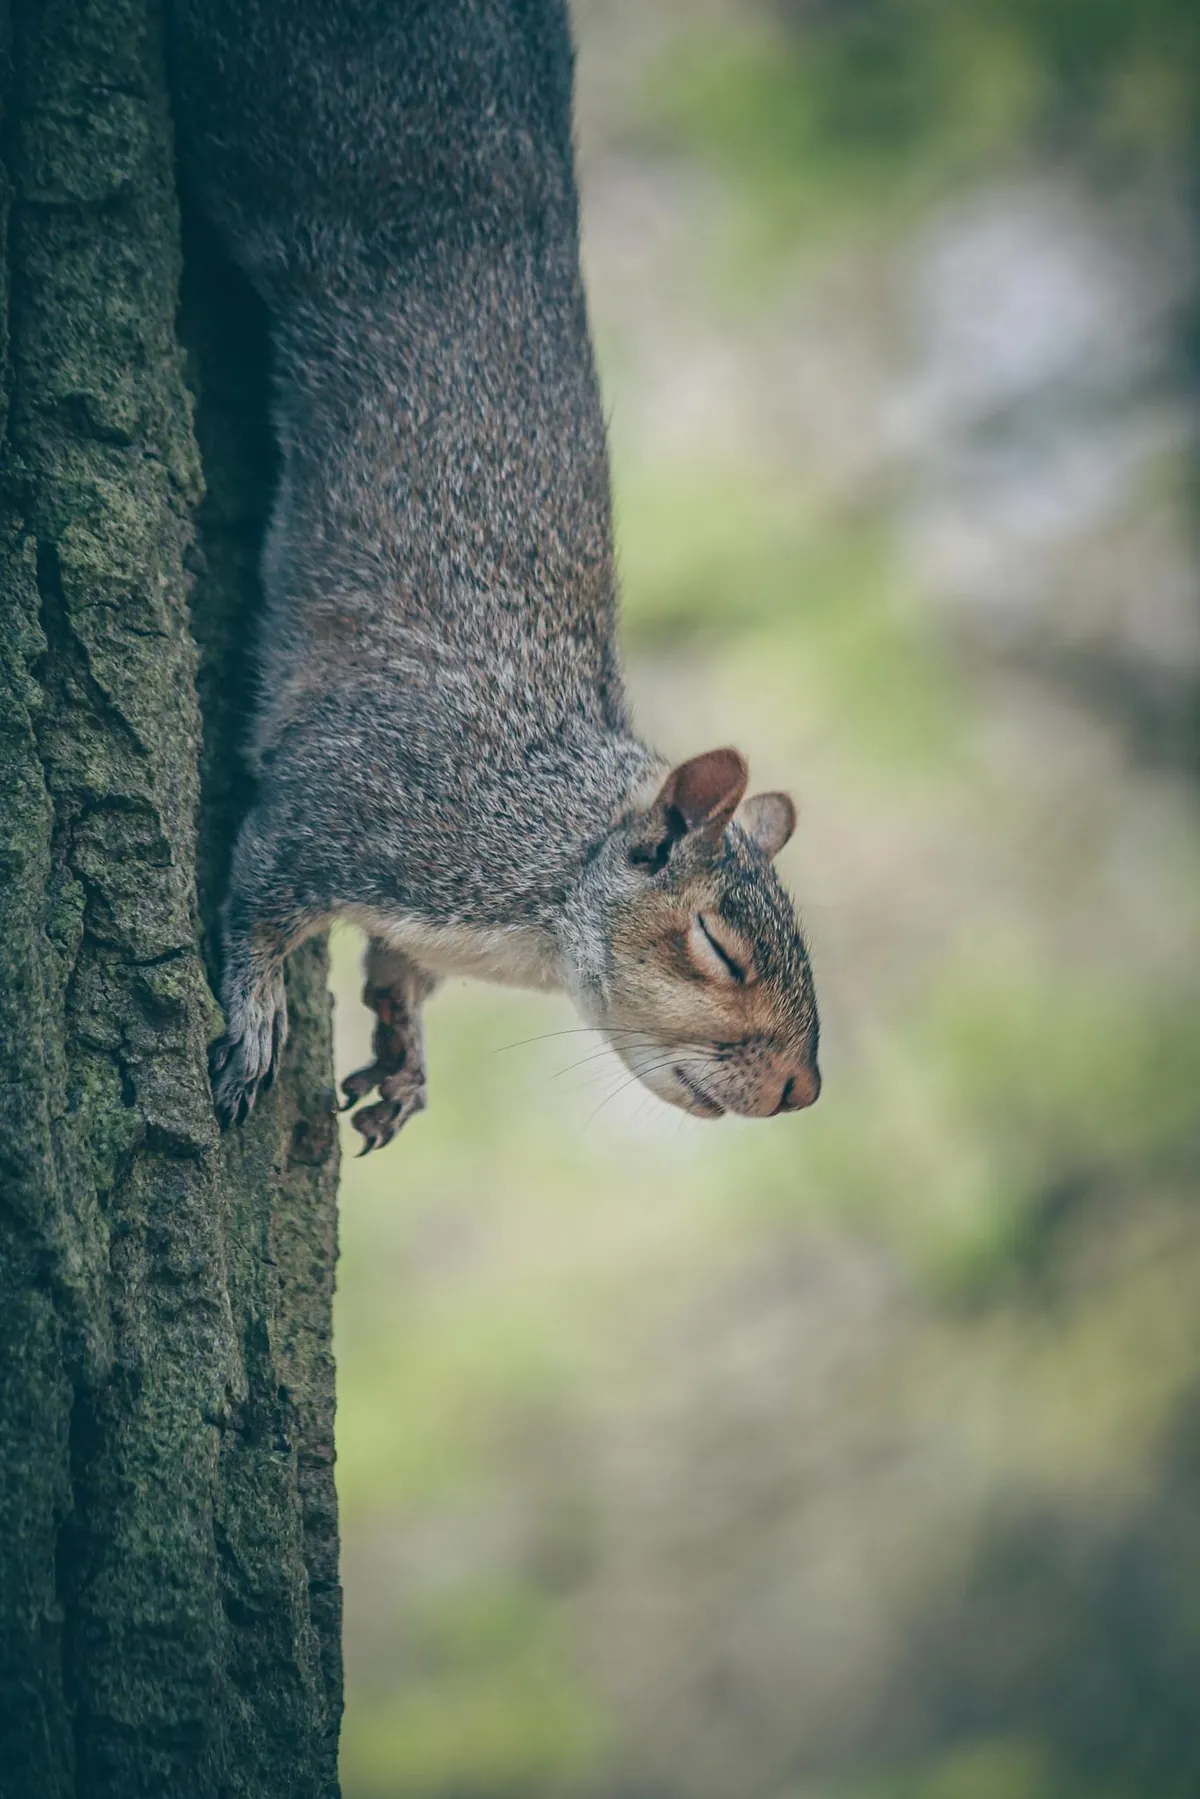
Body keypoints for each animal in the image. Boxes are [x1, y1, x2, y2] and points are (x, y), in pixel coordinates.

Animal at [169, 0, 821, 1152]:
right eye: (719, 945)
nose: (804, 1087)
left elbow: (399, 975)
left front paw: (403, 1051)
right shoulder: (350, 805)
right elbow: (258, 898)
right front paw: (252, 1017)